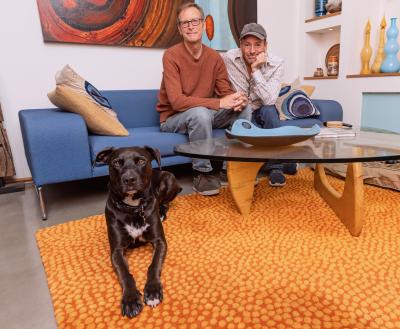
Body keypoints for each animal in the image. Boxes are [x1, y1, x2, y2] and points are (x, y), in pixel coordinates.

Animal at [96, 145, 180, 316]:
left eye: (141, 161)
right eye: (116, 162)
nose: (129, 179)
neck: (133, 208)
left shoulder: (160, 242)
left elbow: (153, 265)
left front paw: (153, 291)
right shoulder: (116, 251)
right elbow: (125, 274)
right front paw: (130, 299)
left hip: (169, 179)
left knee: (165, 202)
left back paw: (162, 212)